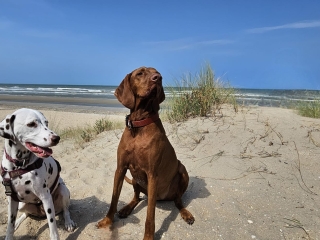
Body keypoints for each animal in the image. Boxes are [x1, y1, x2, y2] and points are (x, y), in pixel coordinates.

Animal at [96, 66, 194, 239]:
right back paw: (127, 208)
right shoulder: (120, 168)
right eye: (140, 73)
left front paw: (148, 236)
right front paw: (107, 221)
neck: (139, 124)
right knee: (137, 197)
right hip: (136, 180)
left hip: (182, 171)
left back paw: (185, 213)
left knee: (178, 200)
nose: (158, 78)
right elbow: (114, 199)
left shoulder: (152, 175)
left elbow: (150, 215)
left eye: (158, 73)